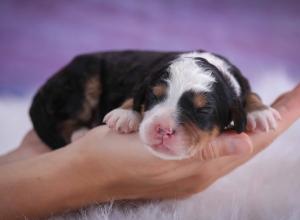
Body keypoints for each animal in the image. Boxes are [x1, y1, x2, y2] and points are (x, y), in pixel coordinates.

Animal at [29, 50, 280, 160]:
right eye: (154, 96)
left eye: (203, 109)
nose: (163, 129)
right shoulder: (144, 77)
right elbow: (133, 94)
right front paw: (124, 114)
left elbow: (250, 93)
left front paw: (260, 112)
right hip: (81, 81)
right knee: (65, 120)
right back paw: (81, 133)